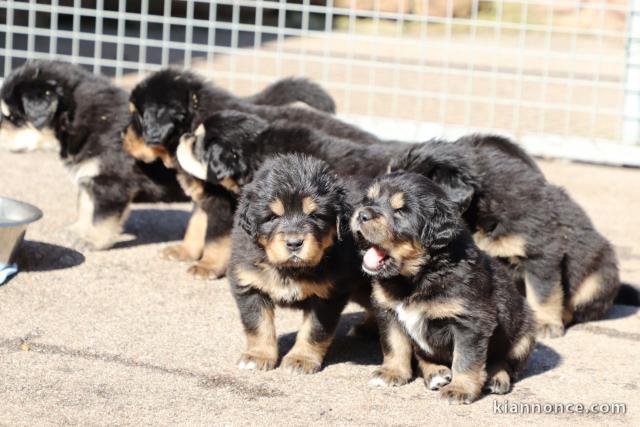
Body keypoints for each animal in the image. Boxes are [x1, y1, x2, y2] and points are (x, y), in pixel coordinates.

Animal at [0, 58, 185, 249]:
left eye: (14, 118)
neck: (77, 120)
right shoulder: (88, 177)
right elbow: (85, 207)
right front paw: (78, 230)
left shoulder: (111, 183)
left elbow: (102, 217)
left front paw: (93, 240)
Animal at [229, 154, 370, 374]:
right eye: (272, 217)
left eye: (315, 215)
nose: (294, 243)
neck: (289, 270)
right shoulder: (249, 285)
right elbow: (258, 324)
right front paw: (258, 356)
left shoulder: (328, 294)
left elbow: (314, 330)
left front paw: (301, 359)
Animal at [350, 173, 536, 404]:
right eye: (368, 200)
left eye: (400, 211)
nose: (362, 214)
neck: (417, 276)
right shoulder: (388, 311)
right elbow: (394, 344)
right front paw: (392, 372)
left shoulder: (471, 321)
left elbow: (465, 359)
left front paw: (460, 389)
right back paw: (435, 373)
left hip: (525, 332)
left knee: (505, 360)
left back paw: (496, 377)